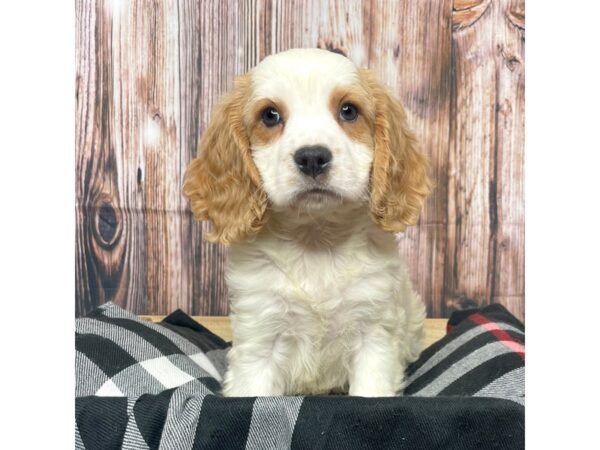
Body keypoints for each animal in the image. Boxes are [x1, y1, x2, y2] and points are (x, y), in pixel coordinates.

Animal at [183, 47, 432, 396]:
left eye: (348, 111)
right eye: (270, 116)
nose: (313, 157)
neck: (316, 236)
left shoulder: (374, 336)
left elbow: (370, 392)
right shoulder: (259, 341)